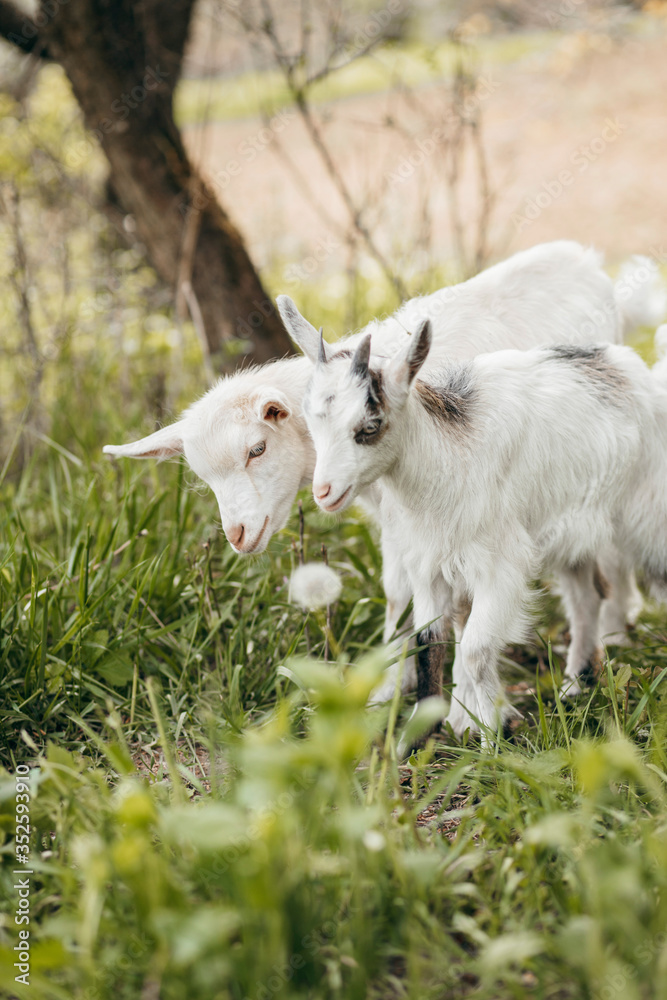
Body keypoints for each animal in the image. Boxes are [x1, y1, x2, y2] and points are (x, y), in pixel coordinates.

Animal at [289, 319, 667, 741]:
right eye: (311, 421)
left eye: (369, 426)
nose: (323, 492)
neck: (448, 455)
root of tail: (628, 365)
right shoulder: (428, 566)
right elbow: (428, 643)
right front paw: (419, 740)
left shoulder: (499, 565)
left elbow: (474, 650)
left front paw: (492, 739)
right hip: (573, 531)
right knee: (586, 598)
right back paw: (575, 685)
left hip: (647, 513)